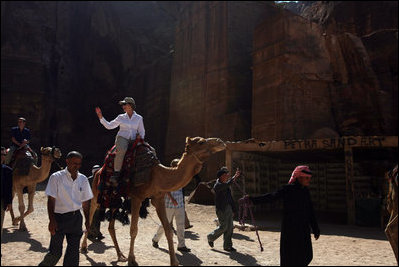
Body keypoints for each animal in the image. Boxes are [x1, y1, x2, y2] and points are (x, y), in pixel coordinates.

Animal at [81, 137, 227, 266]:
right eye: (201, 142)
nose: (220, 141)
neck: (157, 175)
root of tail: (99, 171)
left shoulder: (158, 198)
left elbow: (168, 229)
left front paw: (174, 261)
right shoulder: (137, 197)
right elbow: (133, 229)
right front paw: (132, 260)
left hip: (115, 198)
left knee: (111, 226)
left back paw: (120, 255)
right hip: (96, 192)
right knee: (90, 215)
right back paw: (84, 248)